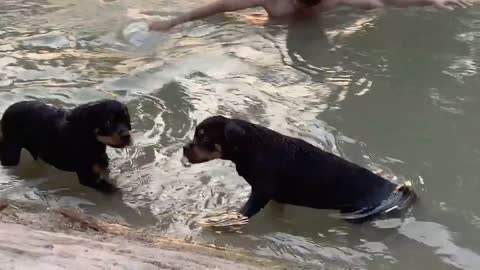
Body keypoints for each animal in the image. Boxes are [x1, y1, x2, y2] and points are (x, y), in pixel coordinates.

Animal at [0, 99, 131, 192]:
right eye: (108, 122)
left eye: (126, 120)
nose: (127, 136)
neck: (91, 141)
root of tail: (7, 110)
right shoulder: (88, 177)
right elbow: (113, 190)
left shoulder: (102, 166)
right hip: (11, 151)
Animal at [184, 115, 416, 221]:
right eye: (196, 135)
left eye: (203, 138)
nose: (185, 148)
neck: (252, 147)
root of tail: (395, 189)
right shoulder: (274, 196)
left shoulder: (260, 193)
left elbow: (243, 213)